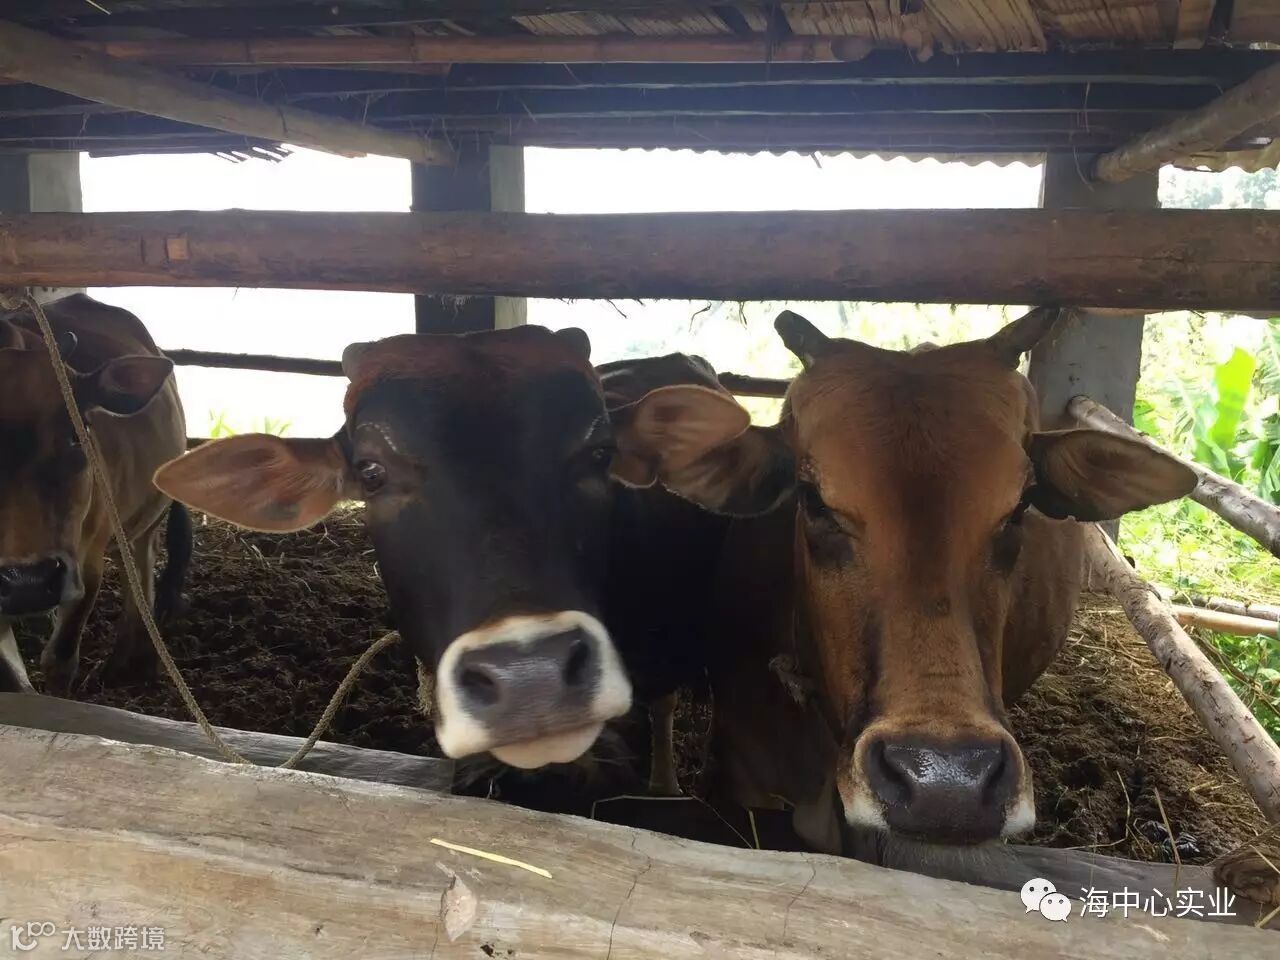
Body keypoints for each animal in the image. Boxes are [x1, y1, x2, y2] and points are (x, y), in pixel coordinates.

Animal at [0, 294, 190, 696]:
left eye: (77, 431)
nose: (29, 583)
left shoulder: (85, 563)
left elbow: (59, 660)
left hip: (144, 515)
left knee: (142, 562)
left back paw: (133, 660)